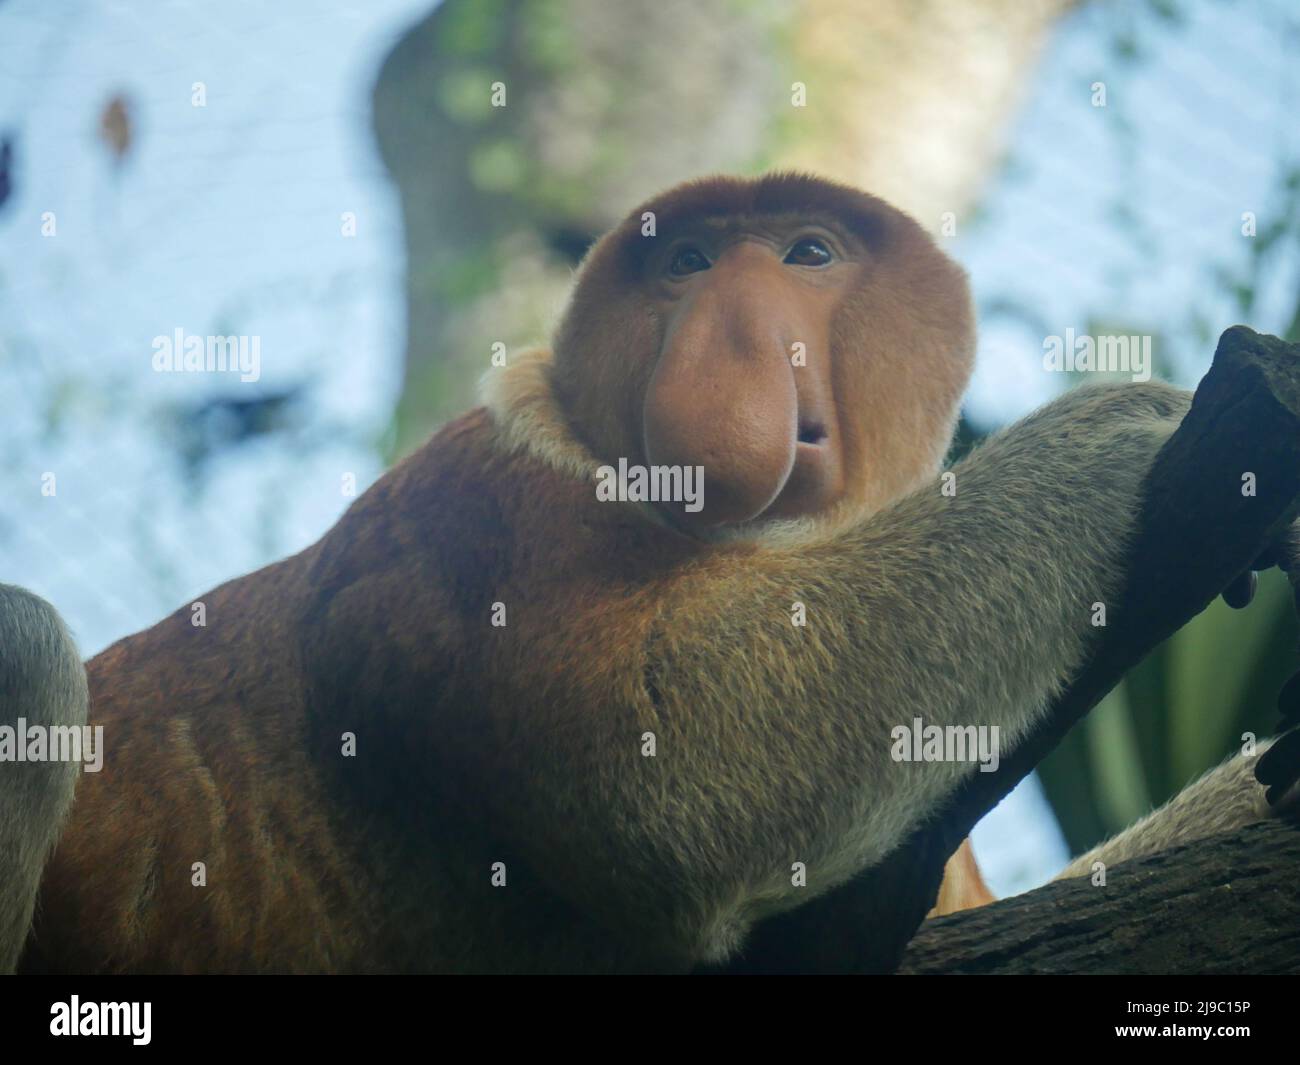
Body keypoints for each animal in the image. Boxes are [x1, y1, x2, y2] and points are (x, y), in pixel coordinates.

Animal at [7, 172, 1297, 973]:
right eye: (683, 263)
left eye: (808, 254)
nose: (731, 340)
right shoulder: (478, 514)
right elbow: (656, 783)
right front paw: (1132, 429)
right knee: (30, 641)